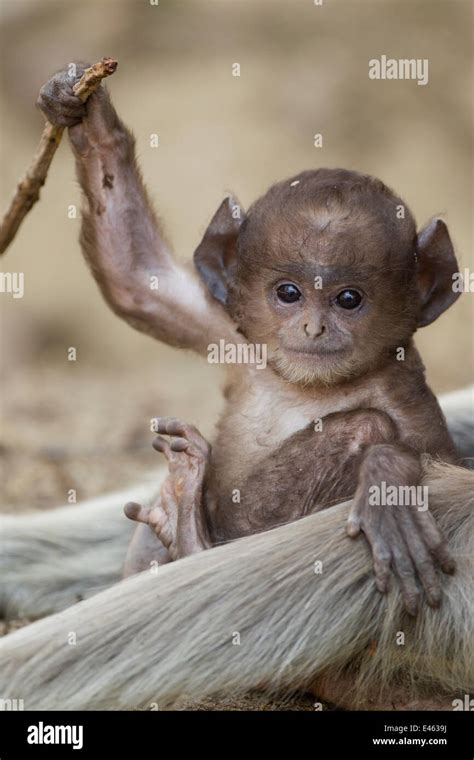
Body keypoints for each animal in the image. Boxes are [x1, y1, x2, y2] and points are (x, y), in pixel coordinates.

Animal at [39, 65, 462, 616]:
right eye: (288, 293)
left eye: (349, 299)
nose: (313, 327)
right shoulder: (233, 333)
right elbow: (135, 279)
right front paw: (83, 109)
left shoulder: (406, 392)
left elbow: (446, 468)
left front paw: (387, 481)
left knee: (365, 425)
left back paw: (190, 535)